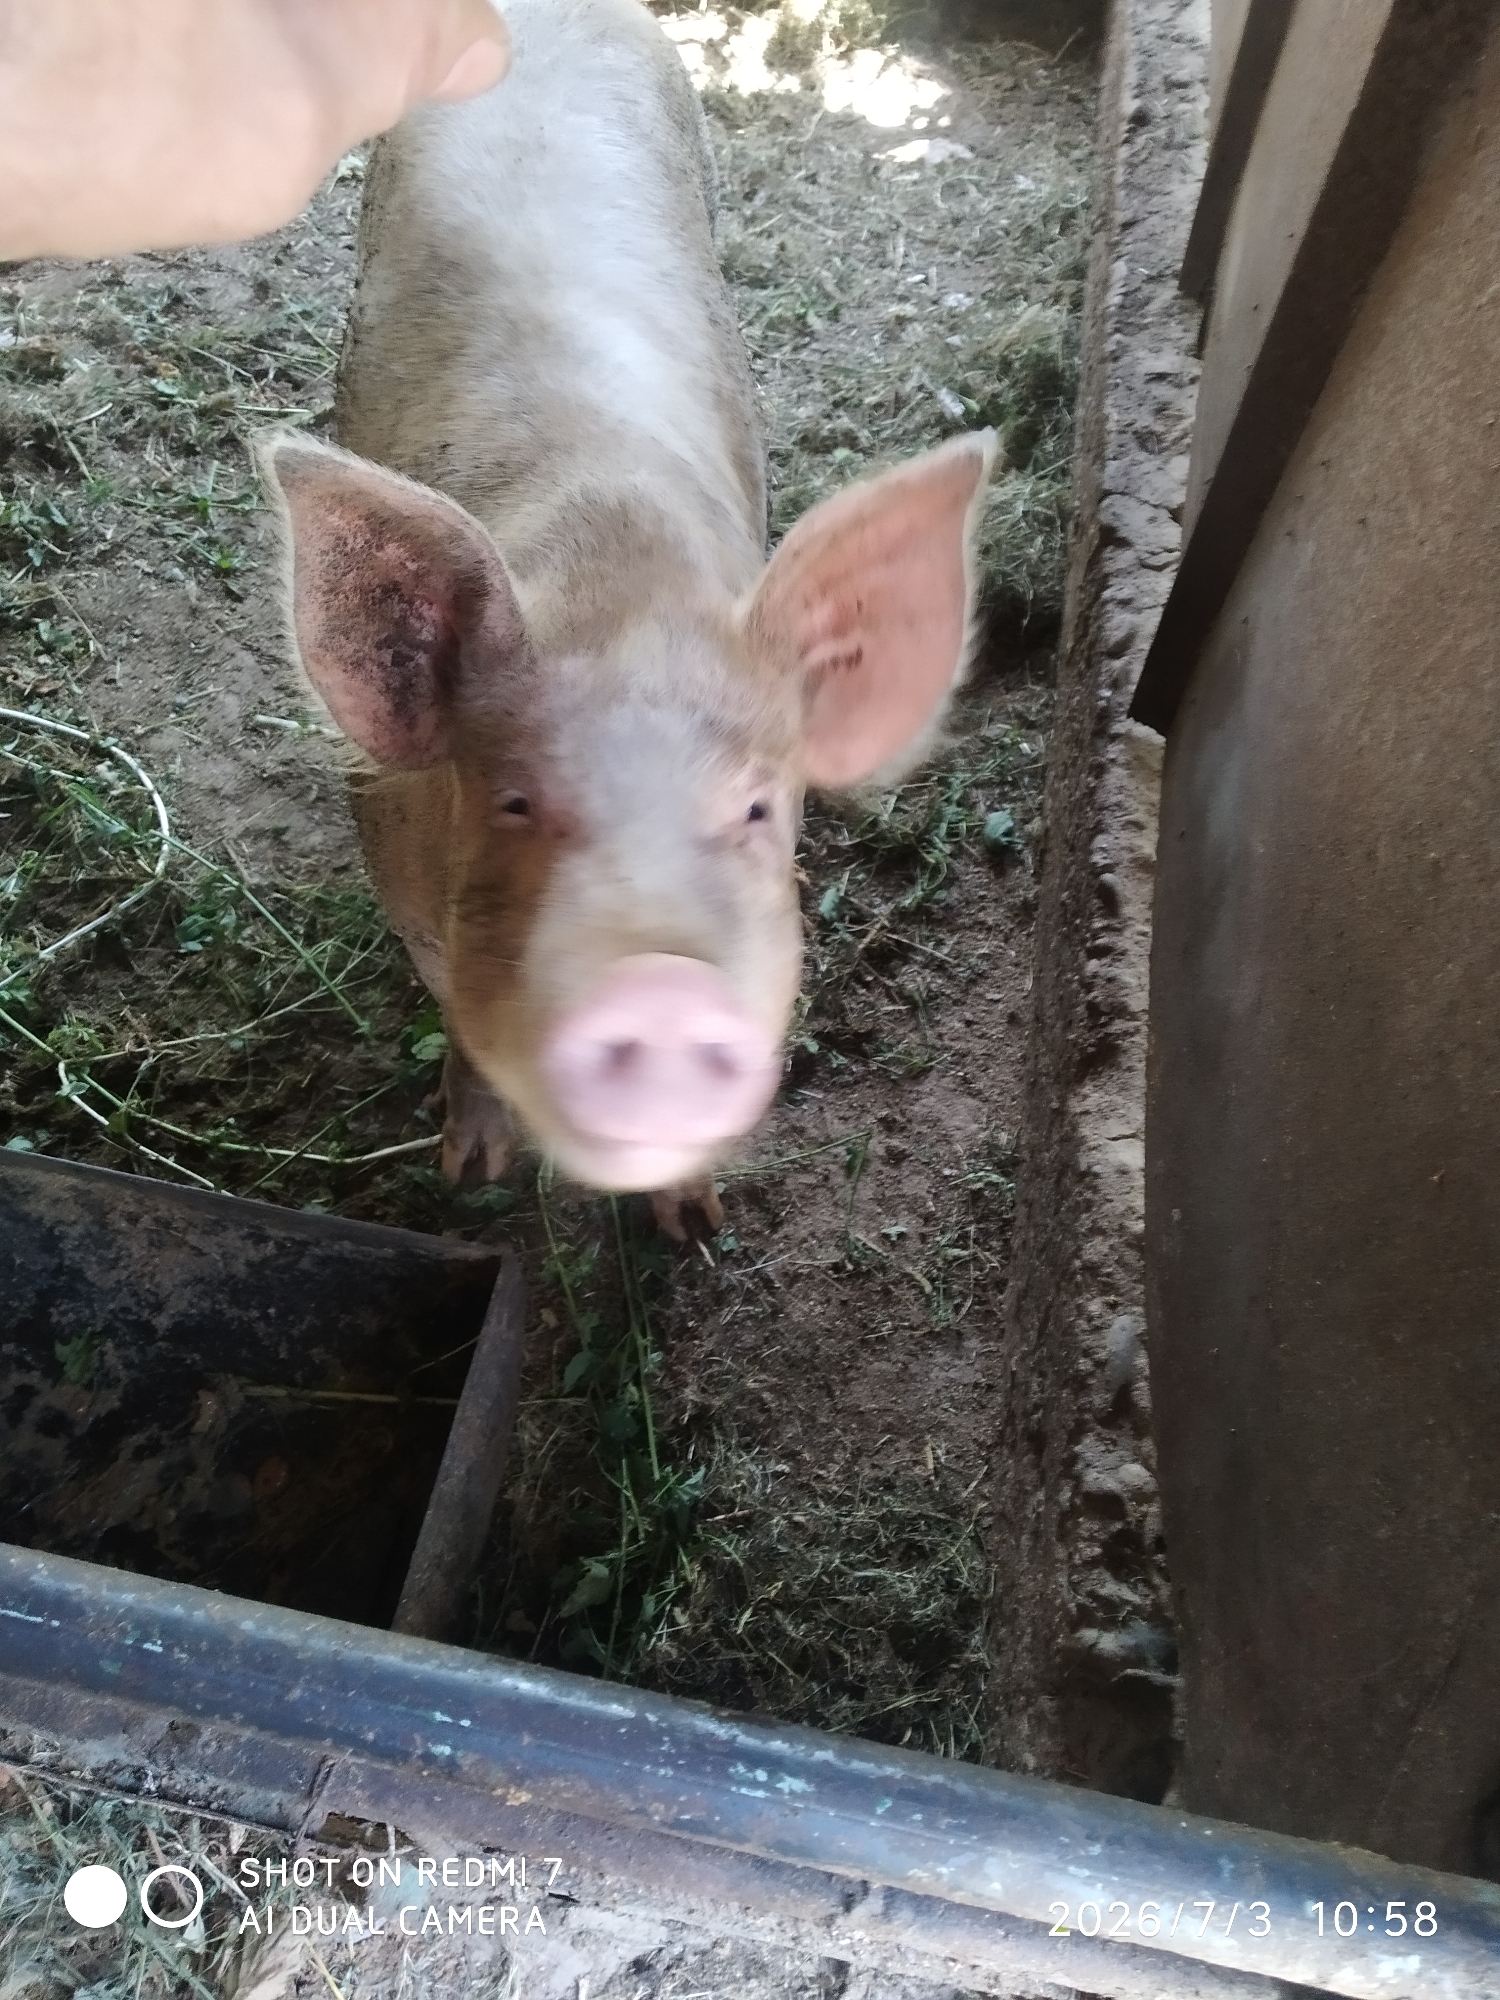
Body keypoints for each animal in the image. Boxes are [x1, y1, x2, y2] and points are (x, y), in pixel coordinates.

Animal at [259, 0, 995, 1238]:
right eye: (513, 801)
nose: (654, 986)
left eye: (757, 809)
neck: (621, 583)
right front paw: (471, 1173)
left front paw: (697, 1229)